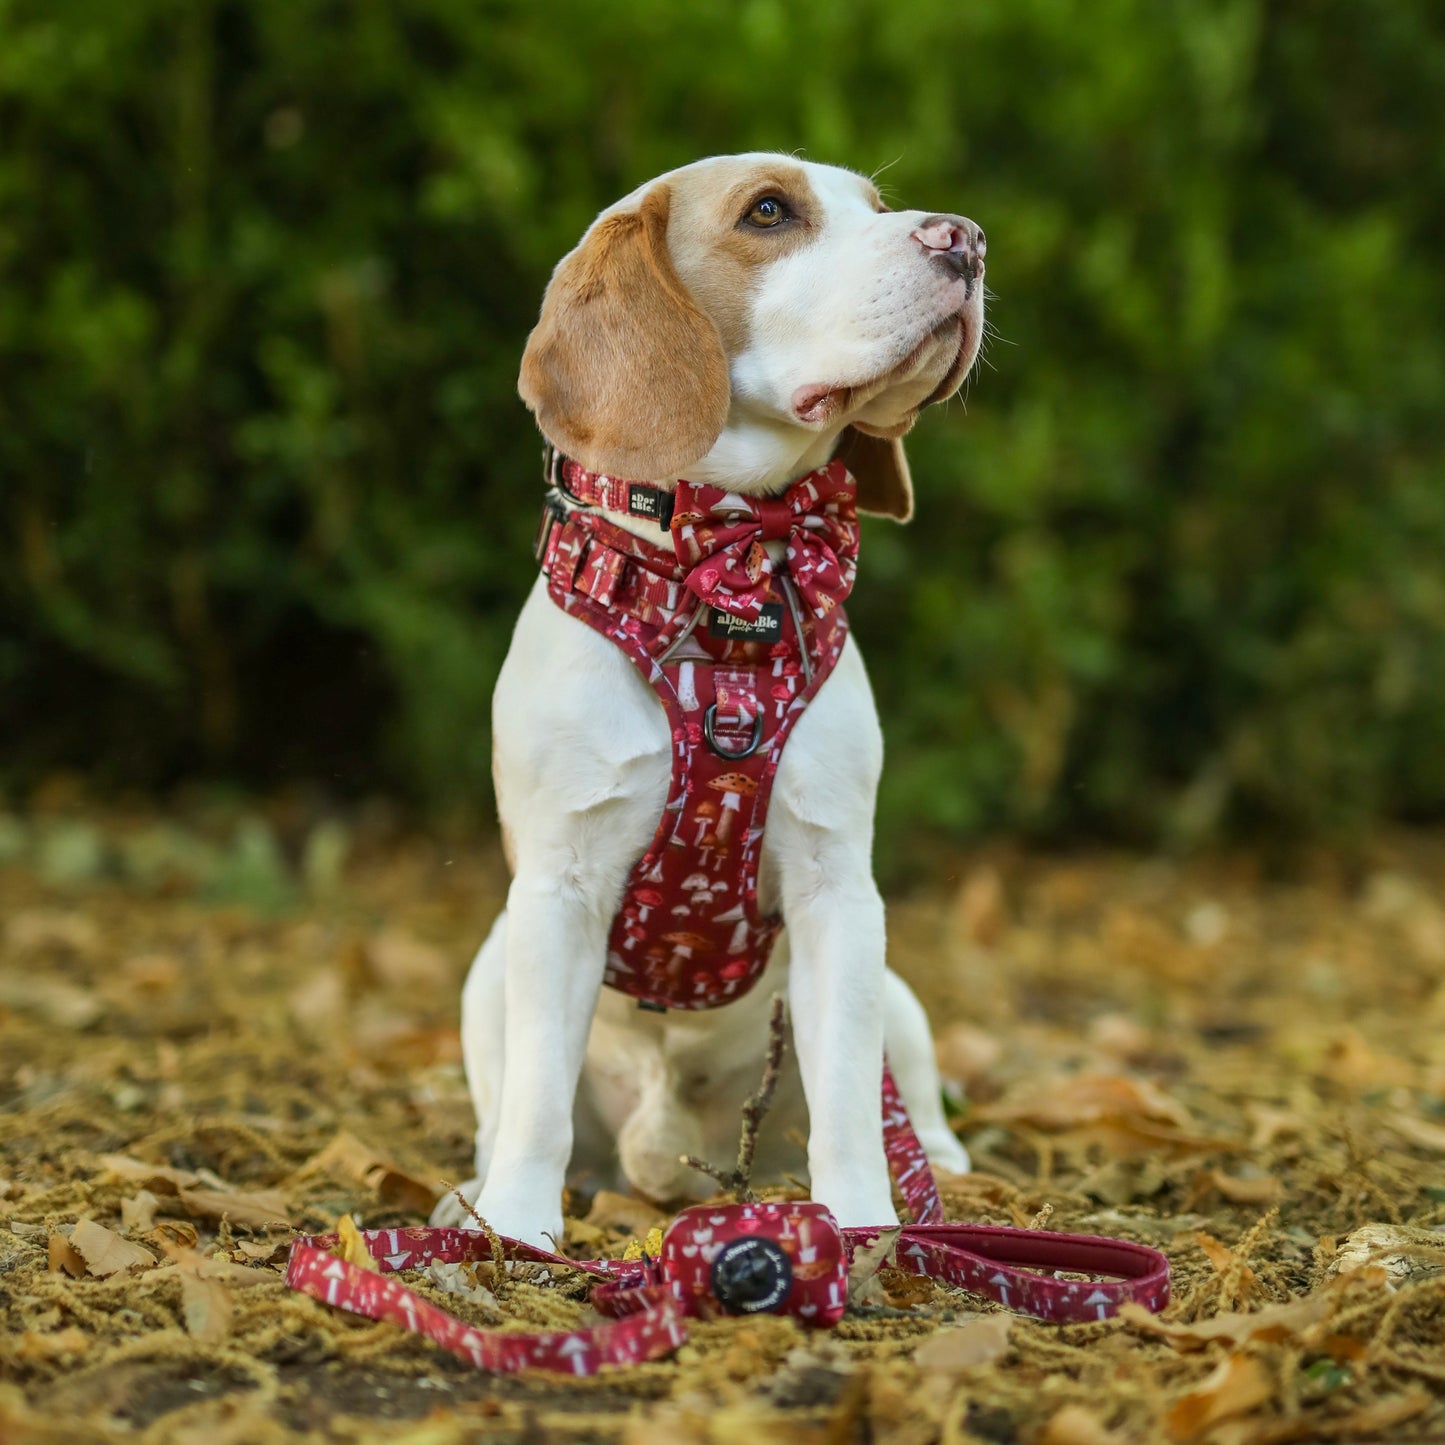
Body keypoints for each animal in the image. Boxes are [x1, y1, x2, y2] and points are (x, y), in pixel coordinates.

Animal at [433, 152, 988, 1248]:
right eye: (767, 212)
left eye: (876, 205)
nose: (966, 239)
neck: (724, 577)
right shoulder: (557, 887)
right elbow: (534, 1101)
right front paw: (513, 1228)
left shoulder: (836, 890)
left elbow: (852, 1103)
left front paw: (862, 1227)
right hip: (488, 970)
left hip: (894, 989)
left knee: (906, 1096)